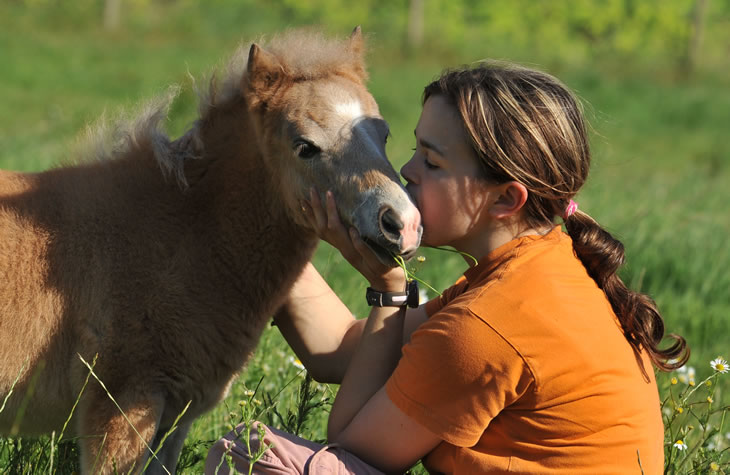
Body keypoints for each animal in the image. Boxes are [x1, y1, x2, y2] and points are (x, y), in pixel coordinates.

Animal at [0, 27, 420, 474]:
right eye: (305, 146)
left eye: (384, 134)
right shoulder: (121, 404)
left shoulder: (173, 417)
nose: (403, 224)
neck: (177, 235)